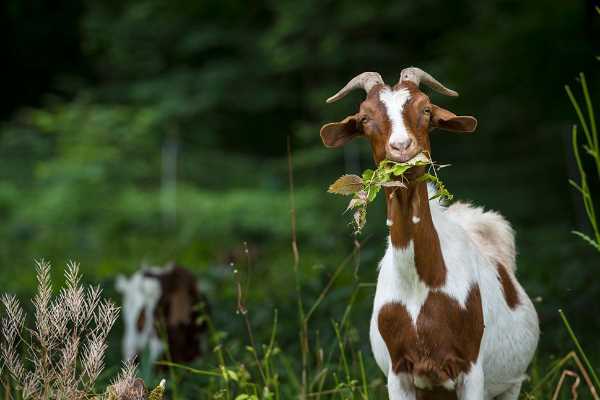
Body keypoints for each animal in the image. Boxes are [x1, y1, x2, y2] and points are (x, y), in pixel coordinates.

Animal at [322, 67, 540, 398]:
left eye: (425, 109)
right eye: (364, 117)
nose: (402, 147)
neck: (422, 283)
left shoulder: (471, 369)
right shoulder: (398, 373)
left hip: (510, 384)